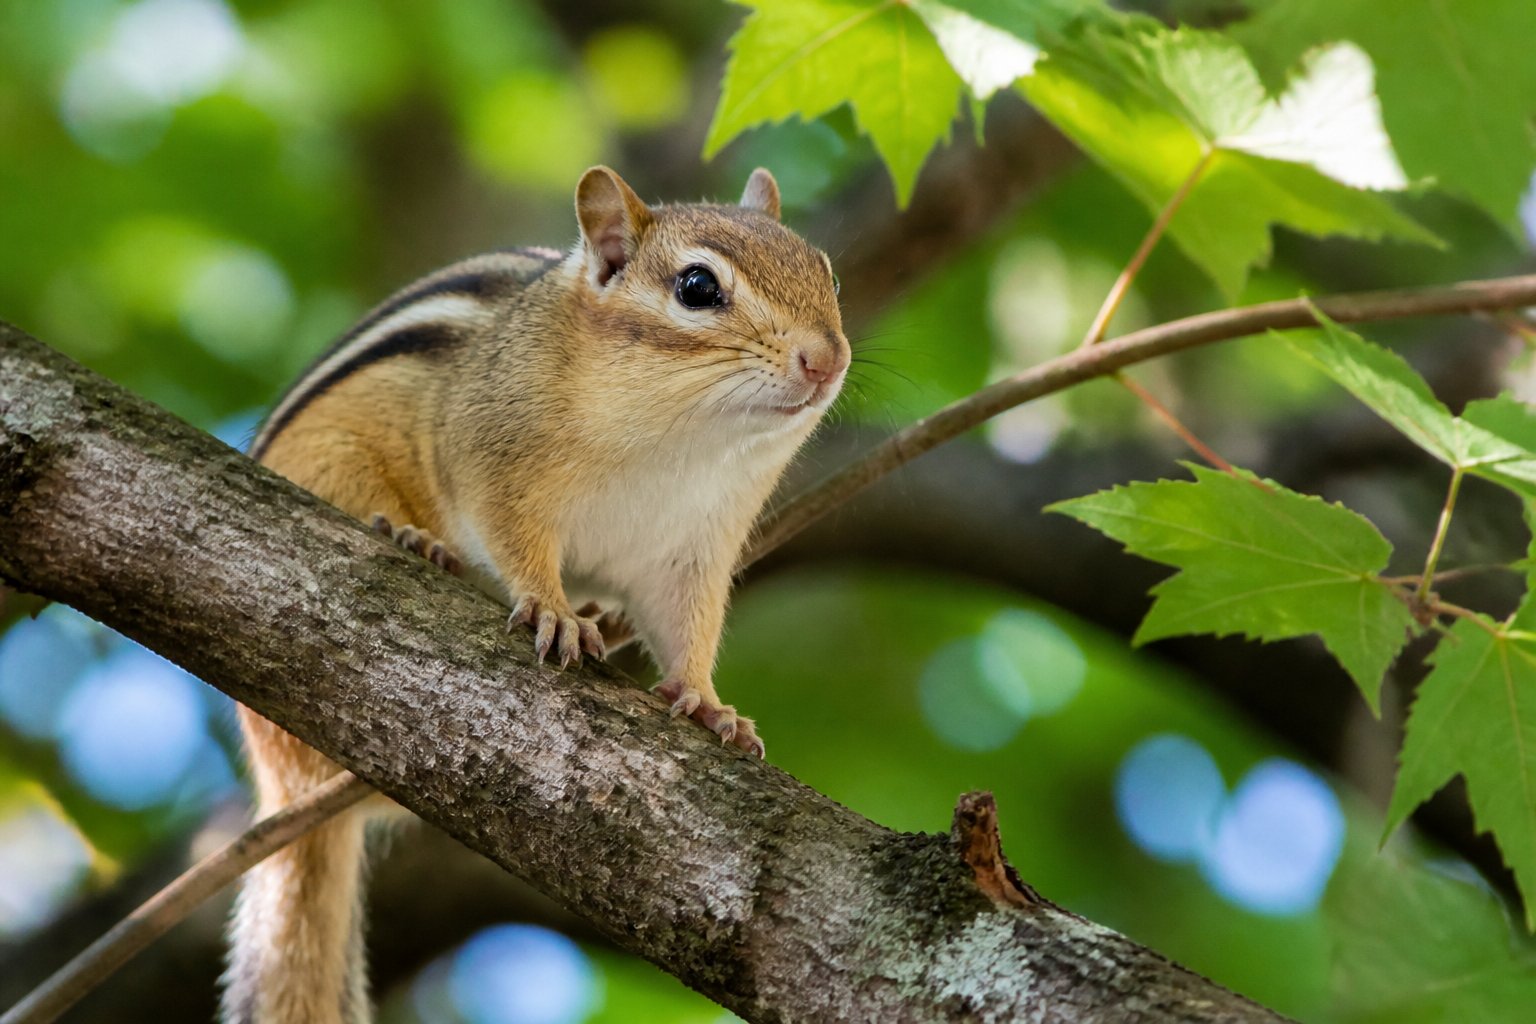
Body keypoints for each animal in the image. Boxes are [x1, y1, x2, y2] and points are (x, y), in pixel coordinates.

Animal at [223, 166, 848, 1024]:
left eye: (828, 273)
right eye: (697, 287)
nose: (827, 360)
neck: (682, 441)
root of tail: (279, 775)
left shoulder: (695, 550)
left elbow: (688, 627)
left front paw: (708, 702)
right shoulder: (495, 463)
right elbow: (515, 539)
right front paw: (552, 609)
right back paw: (416, 540)